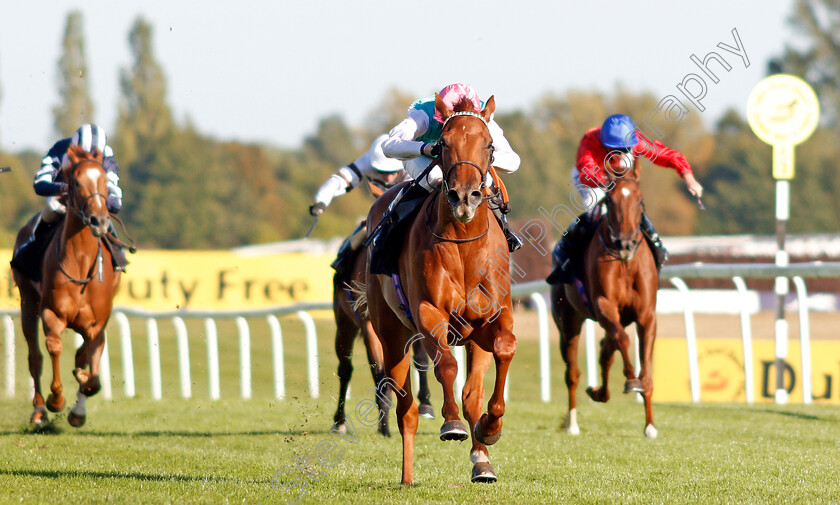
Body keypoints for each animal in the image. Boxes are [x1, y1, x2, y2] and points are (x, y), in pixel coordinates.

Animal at [13, 144, 121, 428]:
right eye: (75, 182)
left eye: (105, 180)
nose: (98, 221)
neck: (80, 264)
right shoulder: (52, 313)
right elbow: (54, 347)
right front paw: (56, 400)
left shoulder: (96, 325)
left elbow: (92, 374)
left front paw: (78, 407)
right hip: (27, 301)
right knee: (35, 357)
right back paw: (40, 410)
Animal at [330, 241, 434, 438]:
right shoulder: (370, 324)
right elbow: (379, 371)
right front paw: (384, 423)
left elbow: (421, 360)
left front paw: (425, 405)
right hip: (344, 323)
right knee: (345, 370)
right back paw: (340, 422)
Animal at [362, 94, 516, 484]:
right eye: (443, 144)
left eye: (489, 144)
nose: (465, 196)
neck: (464, 244)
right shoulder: (429, 312)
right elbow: (445, 365)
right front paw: (451, 424)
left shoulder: (491, 318)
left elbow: (503, 350)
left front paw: (490, 428)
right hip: (391, 332)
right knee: (405, 405)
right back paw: (406, 476)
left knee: (471, 392)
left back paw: (482, 461)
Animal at [552, 167, 664, 440]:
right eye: (610, 202)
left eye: (640, 201)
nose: (625, 243)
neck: (625, 262)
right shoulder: (603, 305)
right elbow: (622, 340)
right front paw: (631, 379)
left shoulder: (646, 315)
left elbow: (645, 367)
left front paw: (650, 425)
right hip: (568, 323)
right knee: (573, 373)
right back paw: (572, 423)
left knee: (606, 349)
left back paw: (599, 393)